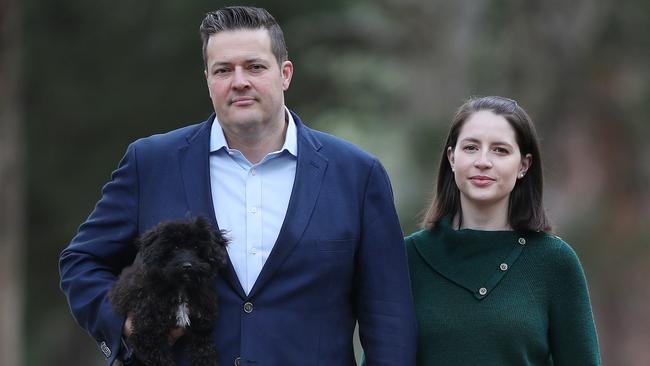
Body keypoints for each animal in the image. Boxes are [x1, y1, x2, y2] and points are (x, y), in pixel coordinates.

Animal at [107, 216, 227, 364]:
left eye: (196, 246)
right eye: (175, 247)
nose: (187, 266)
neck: (181, 286)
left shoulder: (202, 325)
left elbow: (203, 352)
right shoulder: (147, 333)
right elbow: (160, 359)